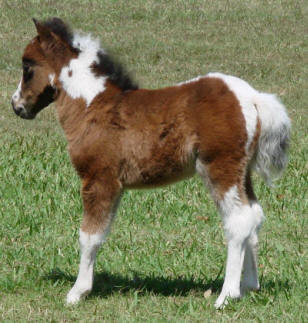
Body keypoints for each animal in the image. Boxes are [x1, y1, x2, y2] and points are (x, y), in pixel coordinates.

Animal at [11, 18, 292, 308]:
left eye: (27, 66)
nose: (17, 105)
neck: (92, 105)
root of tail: (253, 98)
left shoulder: (99, 178)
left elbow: (89, 236)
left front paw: (77, 292)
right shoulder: (116, 185)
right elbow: (101, 232)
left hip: (220, 167)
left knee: (239, 221)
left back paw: (226, 295)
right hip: (241, 172)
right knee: (254, 216)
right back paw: (249, 285)